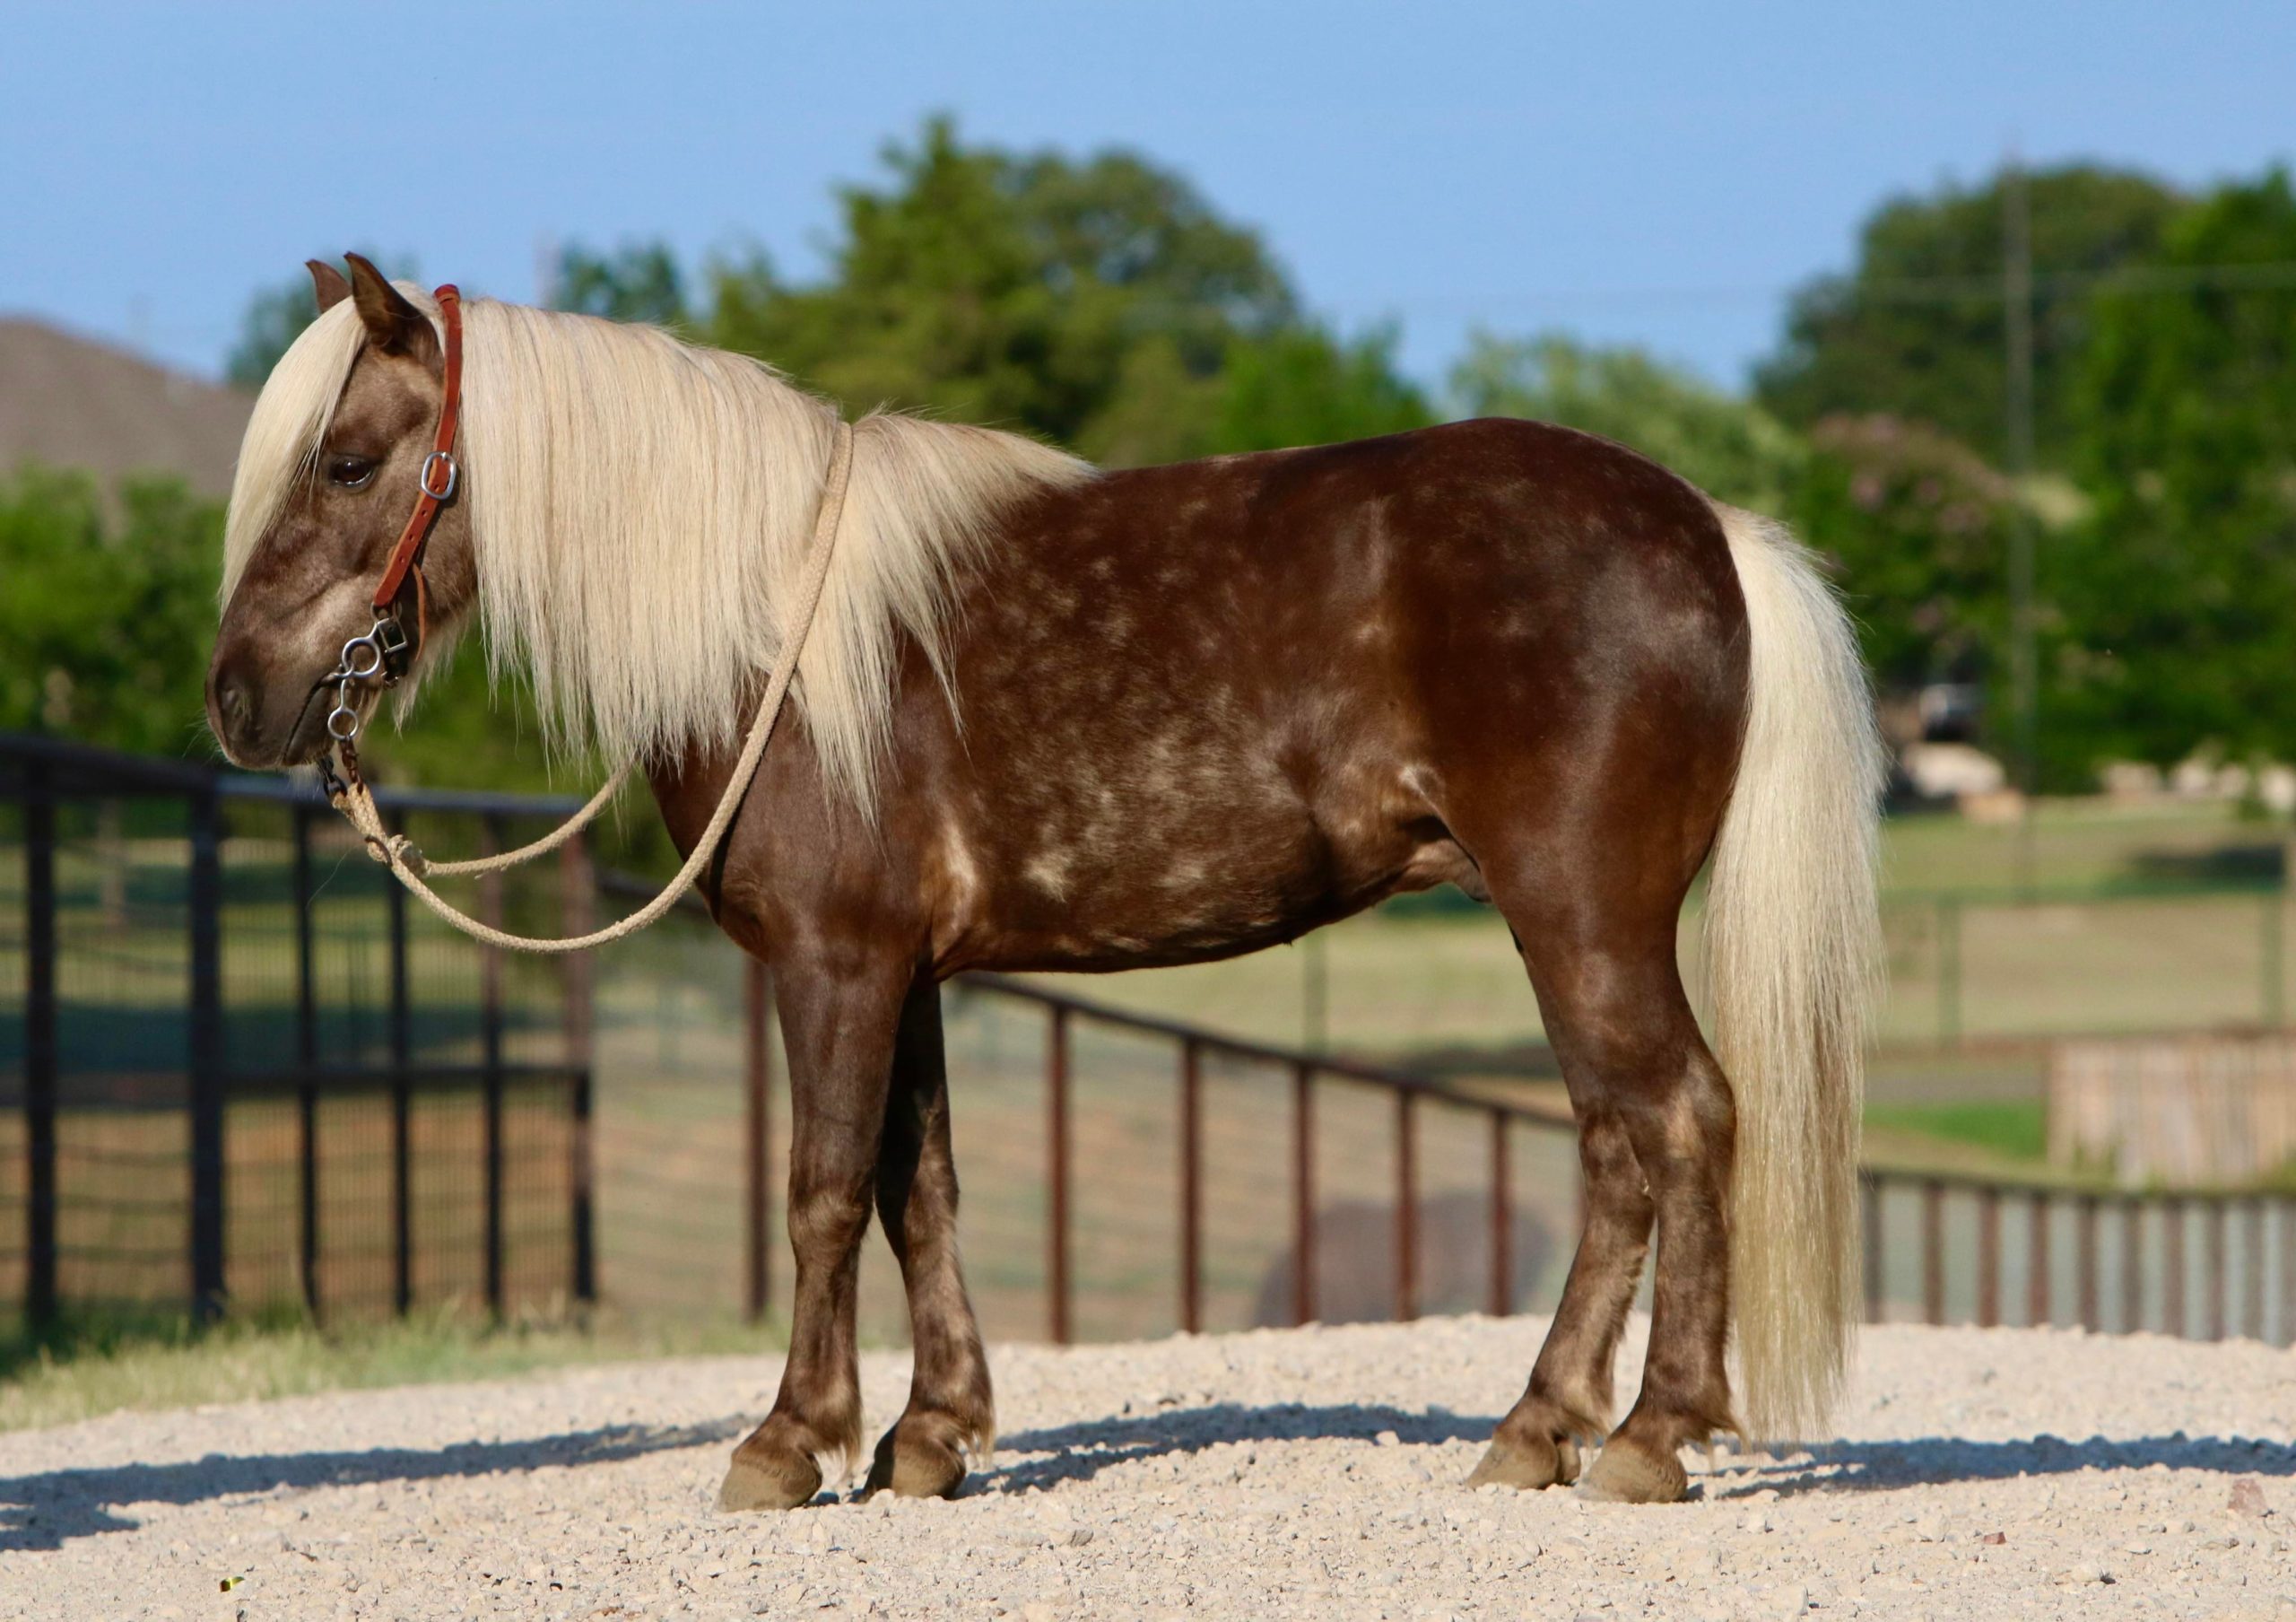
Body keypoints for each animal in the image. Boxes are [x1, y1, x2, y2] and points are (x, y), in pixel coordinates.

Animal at [207, 254, 1882, 1510]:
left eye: (348, 461)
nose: (237, 699)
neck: (773, 618)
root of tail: (1709, 530)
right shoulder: (906, 973)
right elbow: (918, 1188)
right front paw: (928, 1437)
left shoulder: (832, 963)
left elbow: (822, 1193)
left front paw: (787, 1442)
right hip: (1568, 929)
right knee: (1617, 1146)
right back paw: (1540, 1429)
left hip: (1581, 918)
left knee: (1679, 1119)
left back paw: (1650, 1437)